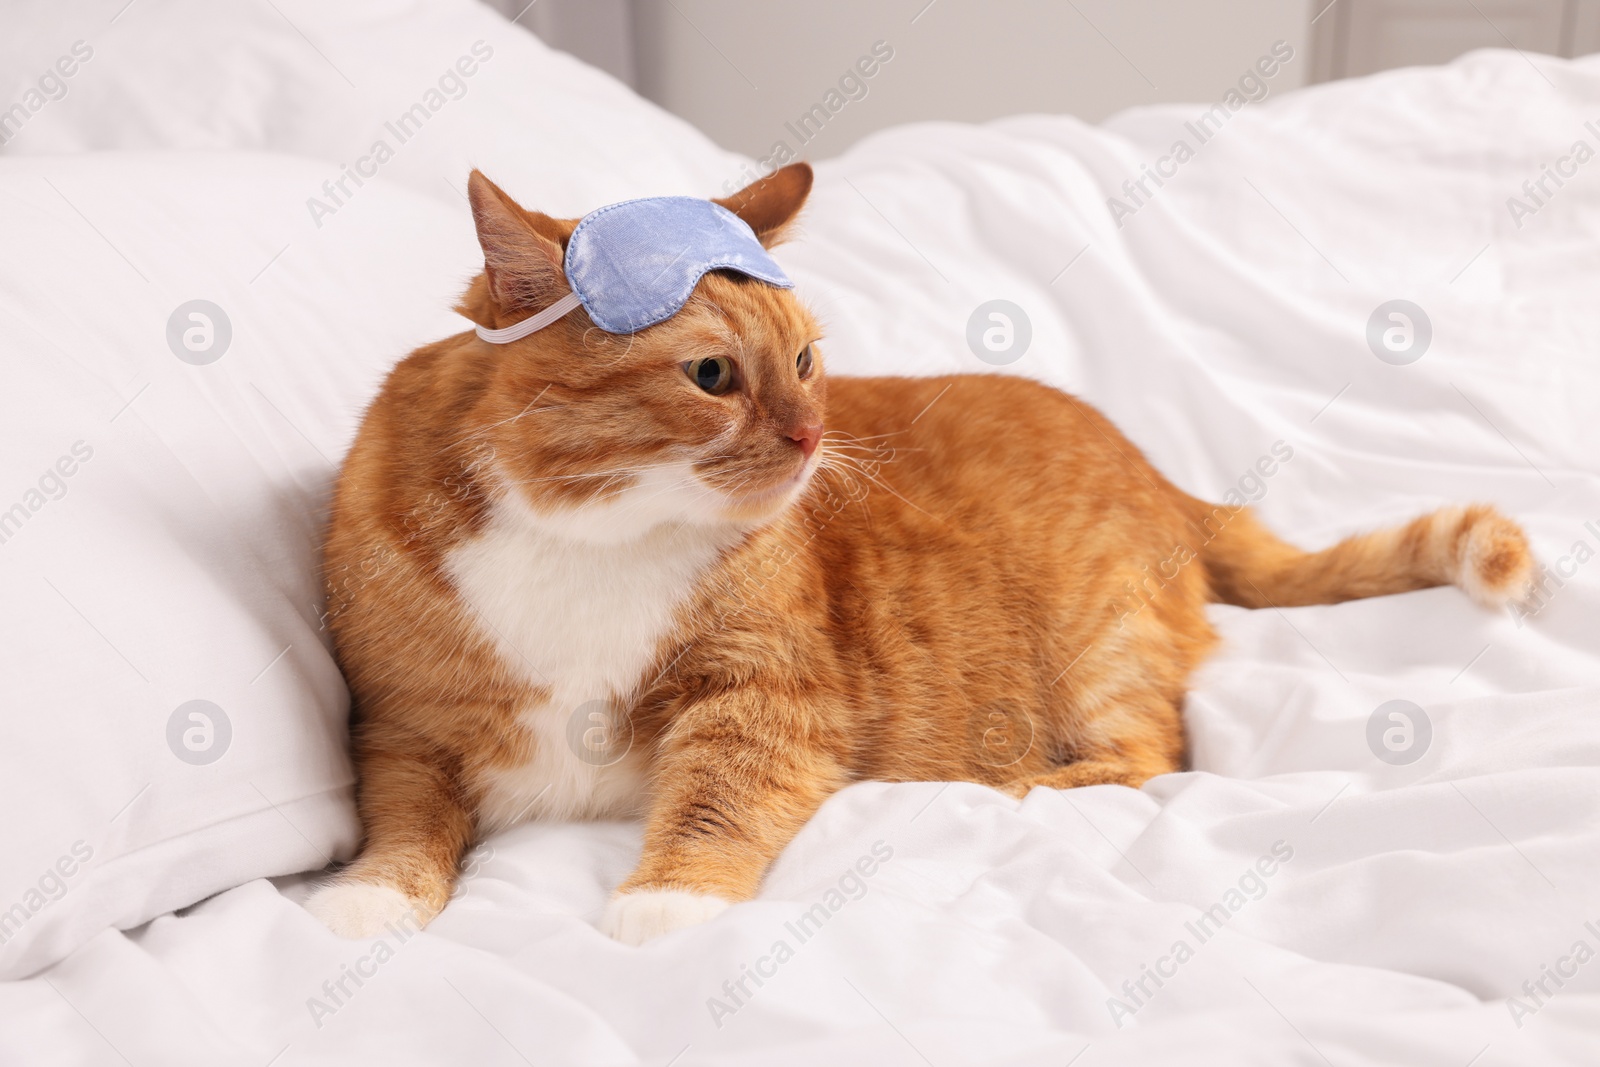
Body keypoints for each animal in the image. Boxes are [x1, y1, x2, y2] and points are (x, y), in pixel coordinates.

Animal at [302, 160, 1536, 940]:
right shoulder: (402, 718)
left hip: (1099, 635)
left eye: (807, 360)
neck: (593, 531)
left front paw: (669, 899)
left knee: (1153, 749)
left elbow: (714, 797)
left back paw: (1024, 783)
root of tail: (1159, 470)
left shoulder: (769, 698)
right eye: (713, 374)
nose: (811, 436)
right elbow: (403, 815)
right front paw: (372, 894)